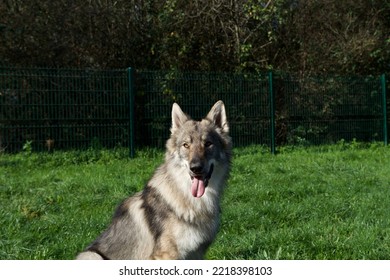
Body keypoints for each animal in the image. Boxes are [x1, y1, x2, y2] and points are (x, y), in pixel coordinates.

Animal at [76, 100, 232, 260]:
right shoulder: (168, 254)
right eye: (186, 145)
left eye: (208, 144)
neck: (193, 201)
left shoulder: (197, 254)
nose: (195, 168)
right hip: (91, 255)